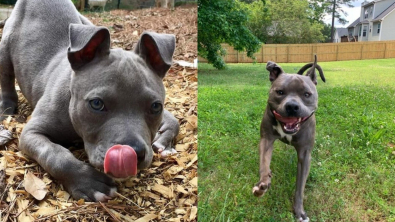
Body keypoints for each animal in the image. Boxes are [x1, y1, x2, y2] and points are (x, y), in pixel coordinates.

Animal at [0, 0, 179, 201]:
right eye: (96, 104)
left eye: (156, 107)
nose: (135, 153)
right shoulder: (30, 133)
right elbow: (56, 154)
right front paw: (89, 182)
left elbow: (174, 118)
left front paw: (164, 138)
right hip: (5, 46)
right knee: (6, 79)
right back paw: (6, 108)